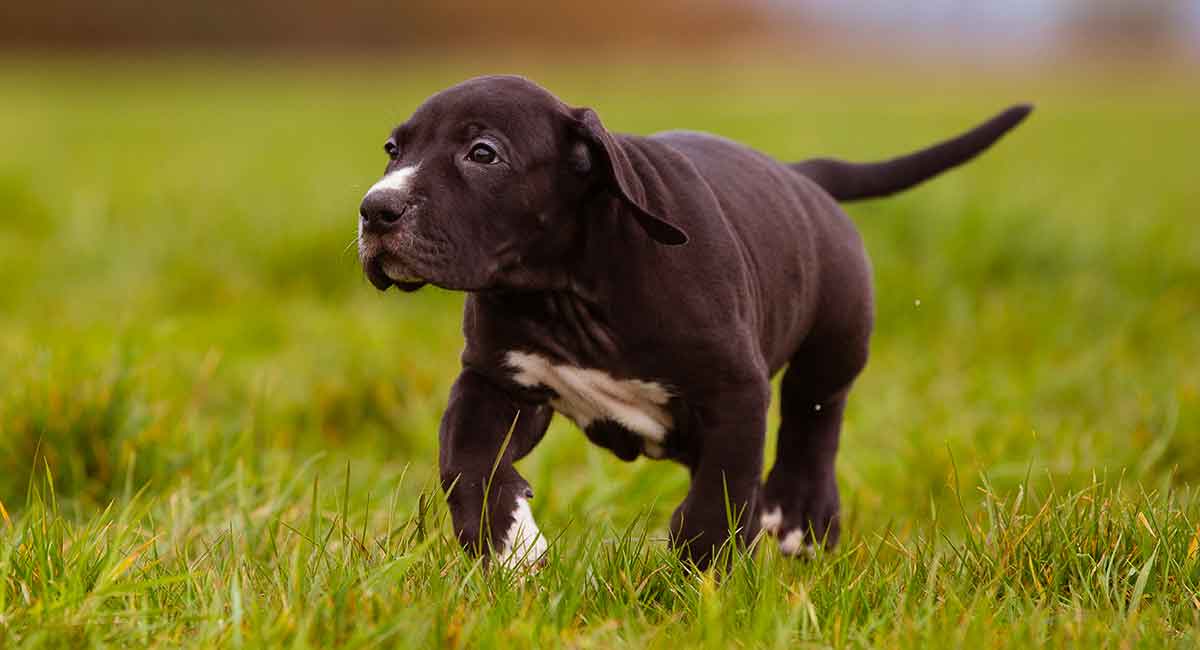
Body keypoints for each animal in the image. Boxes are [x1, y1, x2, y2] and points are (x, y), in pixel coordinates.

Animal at [355, 73, 1032, 568]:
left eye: (483, 153)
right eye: (393, 150)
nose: (375, 209)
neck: (567, 289)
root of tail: (803, 177)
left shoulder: (734, 392)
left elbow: (719, 496)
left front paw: (700, 584)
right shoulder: (496, 382)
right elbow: (464, 459)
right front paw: (507, 543)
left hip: (834, 340)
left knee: (814, 415)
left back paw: (799, 514)